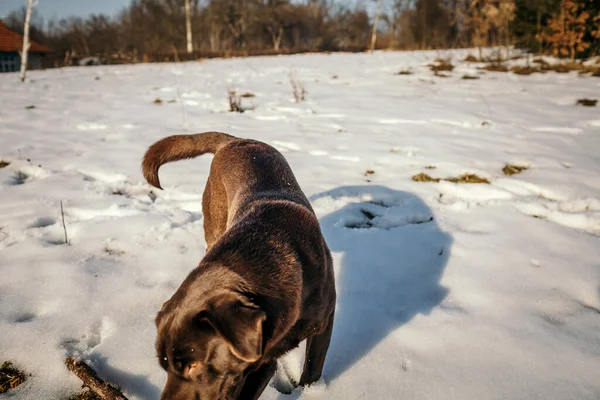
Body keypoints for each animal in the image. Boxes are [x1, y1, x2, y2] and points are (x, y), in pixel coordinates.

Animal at [142, 133, 336, 398]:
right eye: (165, 365)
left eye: (194, 365)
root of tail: (236, 140)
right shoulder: (261, 358)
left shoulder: (324, 320)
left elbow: (313, 366)